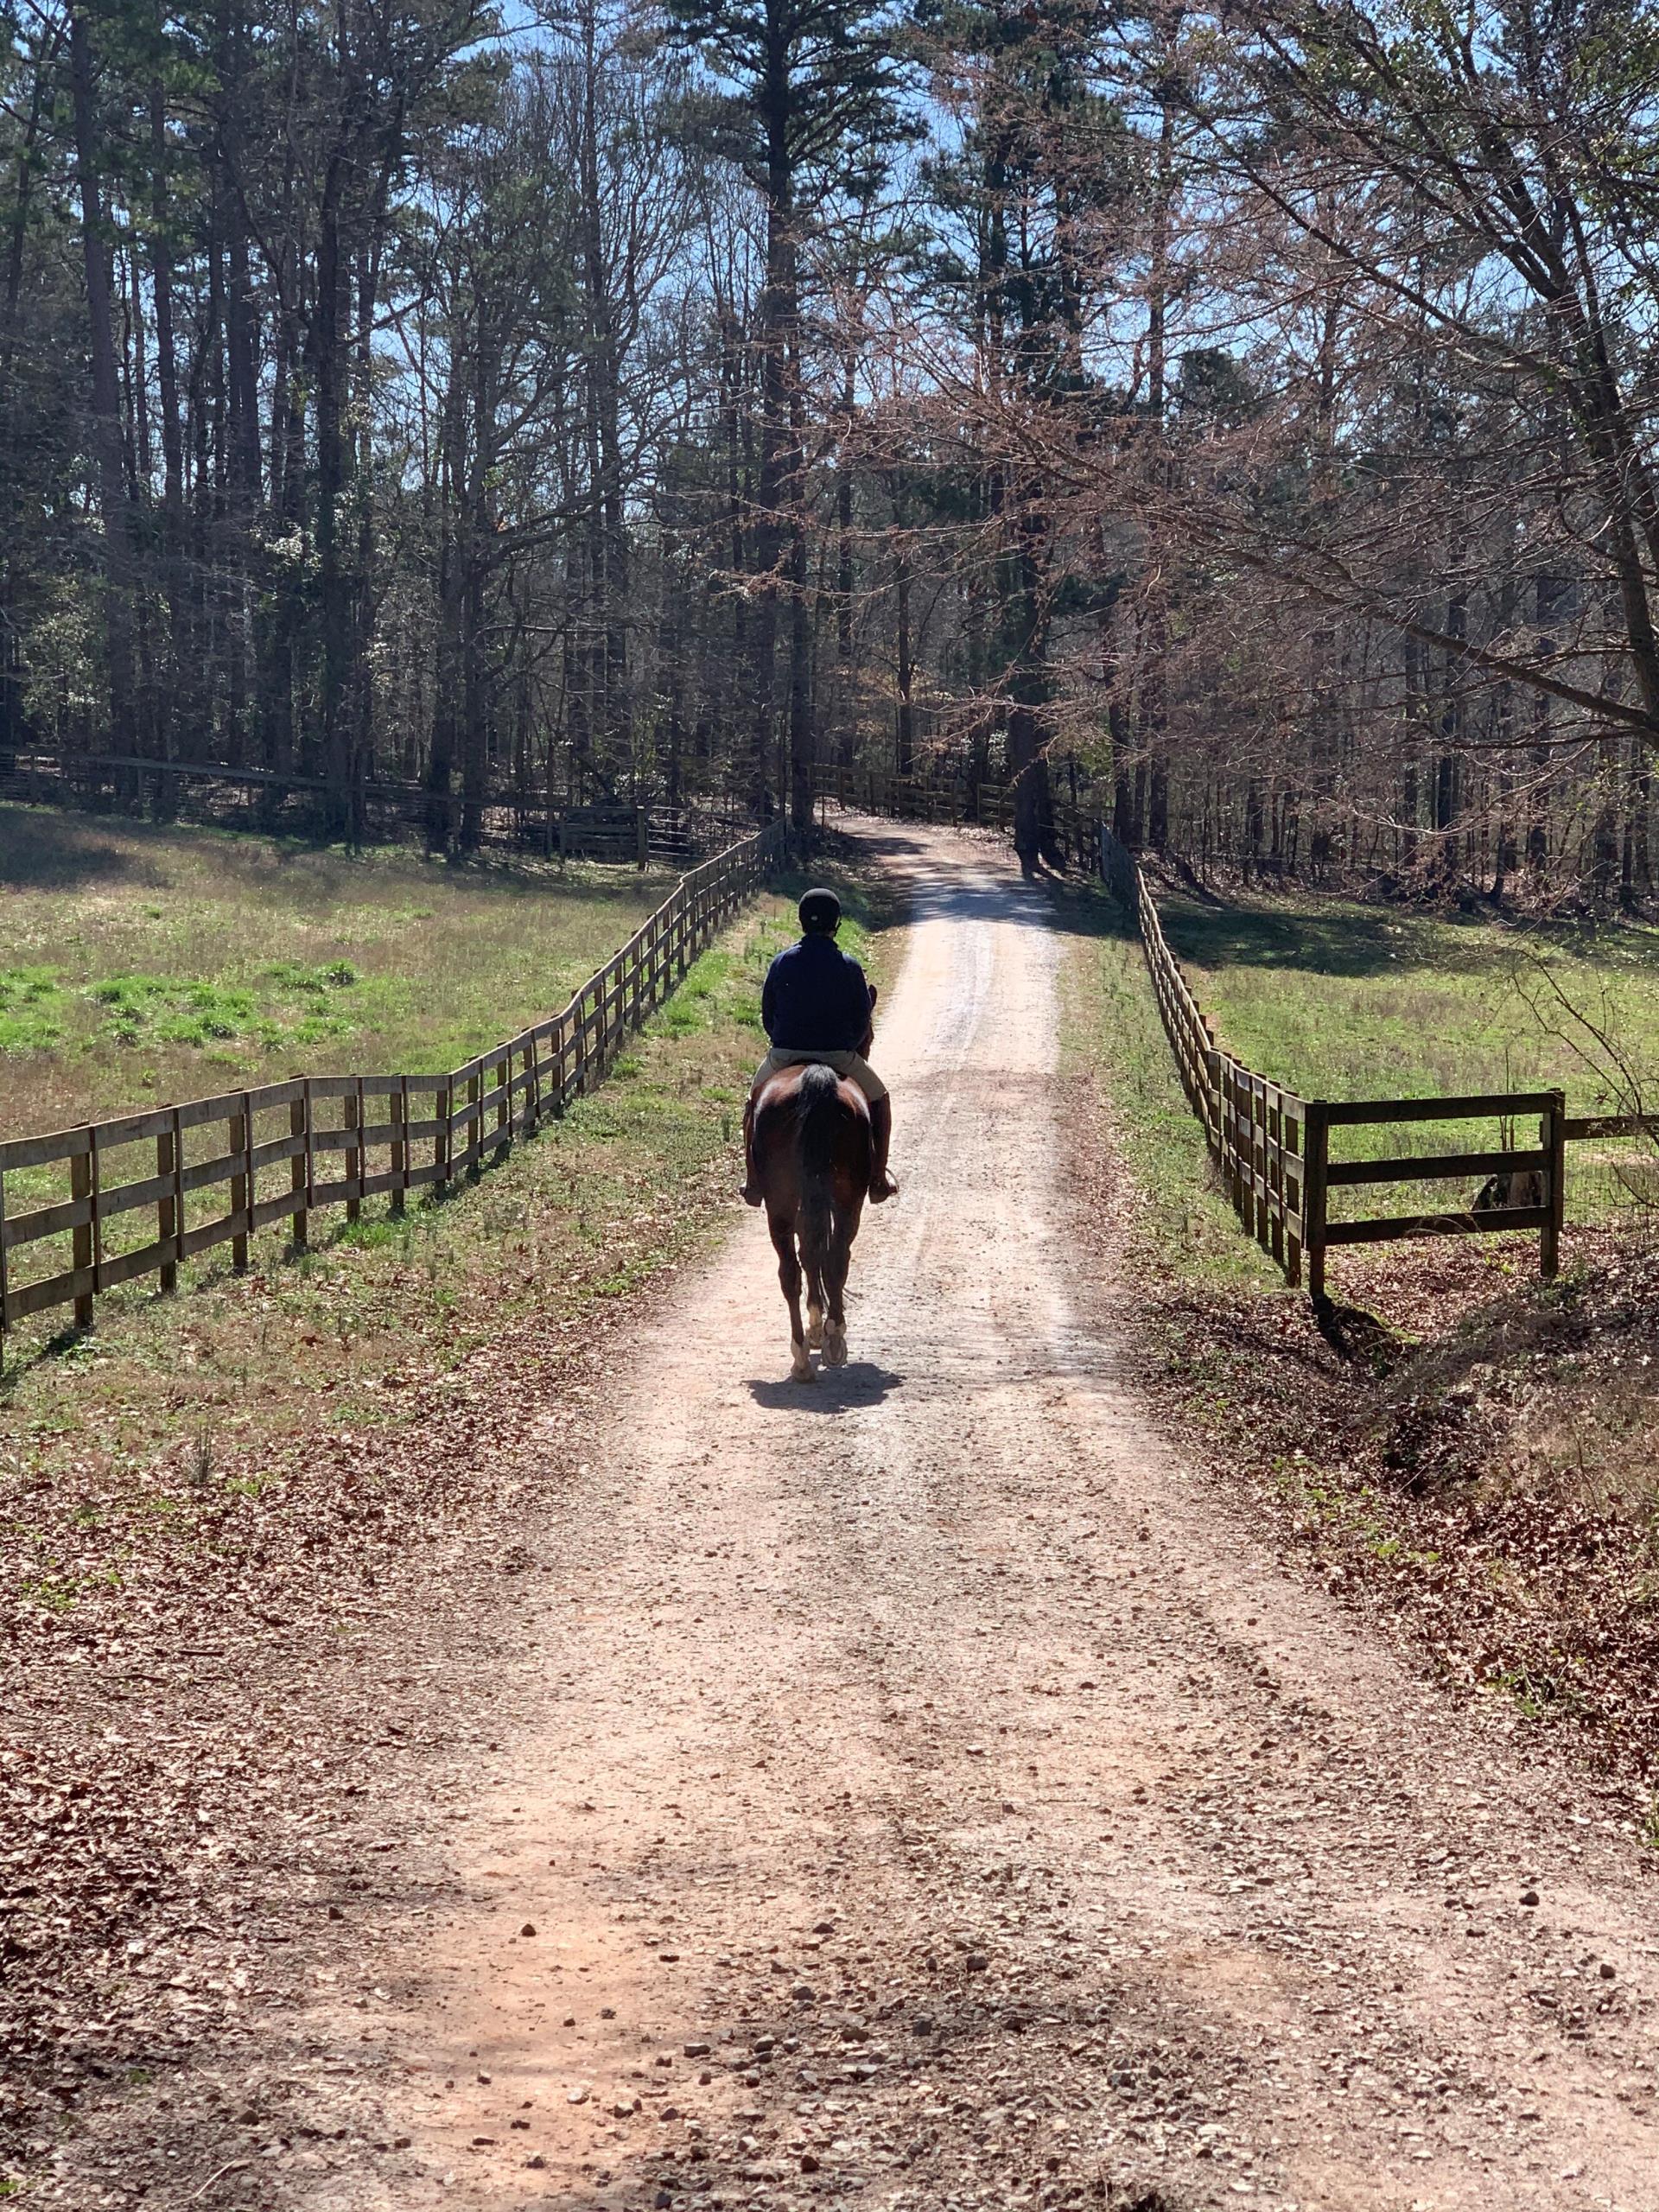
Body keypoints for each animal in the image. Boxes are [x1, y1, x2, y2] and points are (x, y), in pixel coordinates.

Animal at [756, 1057, 875, 1380]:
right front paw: (819, 1329)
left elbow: (809, 1256)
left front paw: (815, 1328)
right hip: (847, 1200)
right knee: (834, 1258)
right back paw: (832, 1337)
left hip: (781, 1203)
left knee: (791, 1271)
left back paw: (801, 1357)